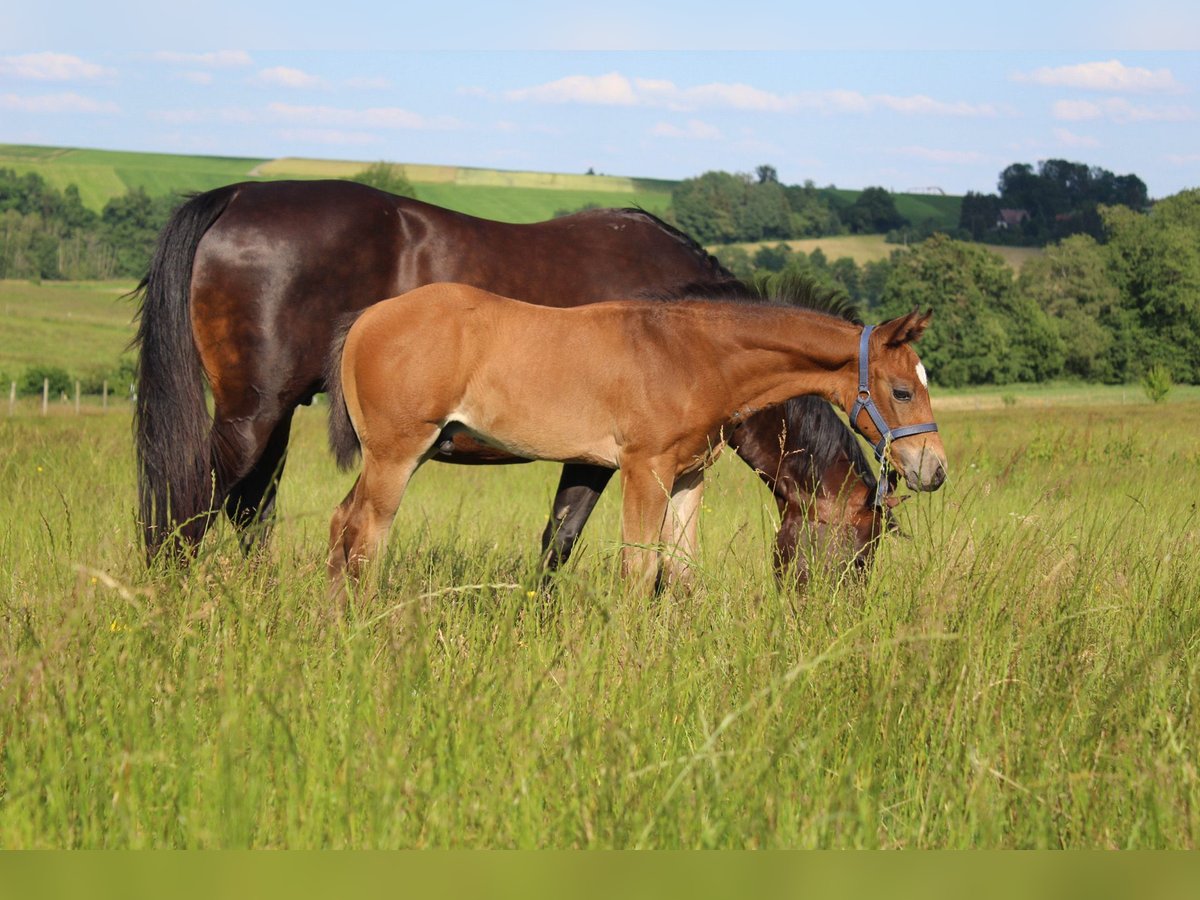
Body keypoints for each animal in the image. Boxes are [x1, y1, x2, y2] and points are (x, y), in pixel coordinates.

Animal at [133, 181, 892, 578]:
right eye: (860, 555)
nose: (832, 631)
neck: (700, 329)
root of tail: (237, 194)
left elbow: (563, 544)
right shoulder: (607, 459)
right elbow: (566, 542)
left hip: (275, 419)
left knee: (247, 515)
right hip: (252, 416)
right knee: (186, 513)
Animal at [326, 282, 945, 592]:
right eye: (903, 391)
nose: (934, 468)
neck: (694, 355)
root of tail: (365, 318)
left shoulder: (688, 476)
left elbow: (681, 572)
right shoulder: (644, 469)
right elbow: (639, 569)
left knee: (342, 524)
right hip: (396, 456)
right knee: (366, 544)